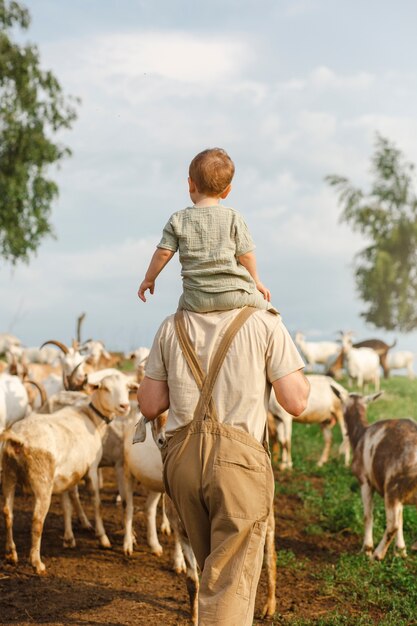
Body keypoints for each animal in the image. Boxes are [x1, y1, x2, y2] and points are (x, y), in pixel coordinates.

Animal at [0, 372, 133, 572]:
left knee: (8, 513)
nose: (125, 406)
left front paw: (69, 538)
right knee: (37, 520)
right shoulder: (91, 470)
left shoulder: (67, 475)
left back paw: (11, 554)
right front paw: (102, 538)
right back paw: (36, 562)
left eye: (127, 388)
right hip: (42, 481)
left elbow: (66, 503)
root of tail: (19, 437)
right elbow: (96, 503)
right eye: (105, 388)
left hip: (9, 474)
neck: (91, 418)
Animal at [332, 388, 416, 560]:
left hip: (392, 486)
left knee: (392, 525)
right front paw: (401, 552)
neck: (361, 434)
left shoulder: (364, 480)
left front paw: (367, 549)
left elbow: (368, 515)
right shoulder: (401, 497)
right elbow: (401, 519)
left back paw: (376, 555)